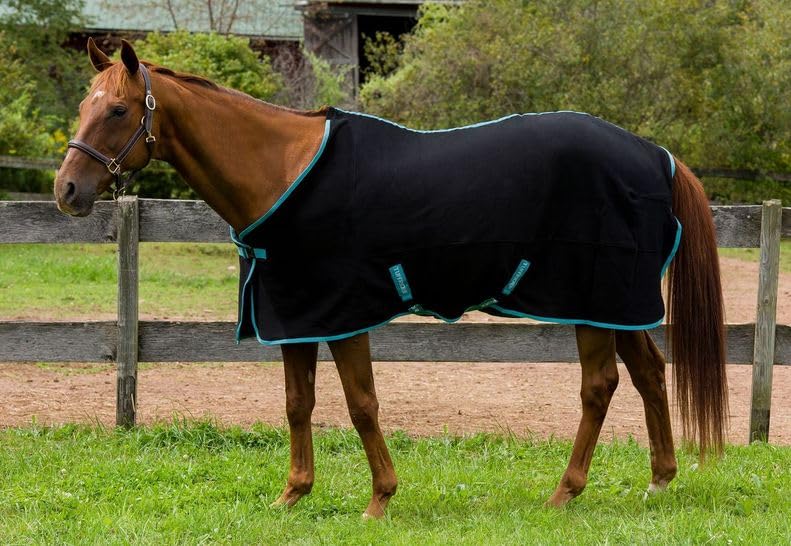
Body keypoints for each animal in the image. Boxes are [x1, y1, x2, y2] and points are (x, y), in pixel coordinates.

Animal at [55, 39, 727, 518]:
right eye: (84, 107)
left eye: (118, 110)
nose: (67, 191)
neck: (282, 170)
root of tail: (655, 154)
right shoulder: (295, 314)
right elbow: (298, 404)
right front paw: (293, 495)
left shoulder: (343, 313)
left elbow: (361, 404)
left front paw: (379, 499)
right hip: (617, 304)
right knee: (648, 374)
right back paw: (658, 482)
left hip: (591, 299)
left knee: (600, 386)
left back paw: (565, 492)